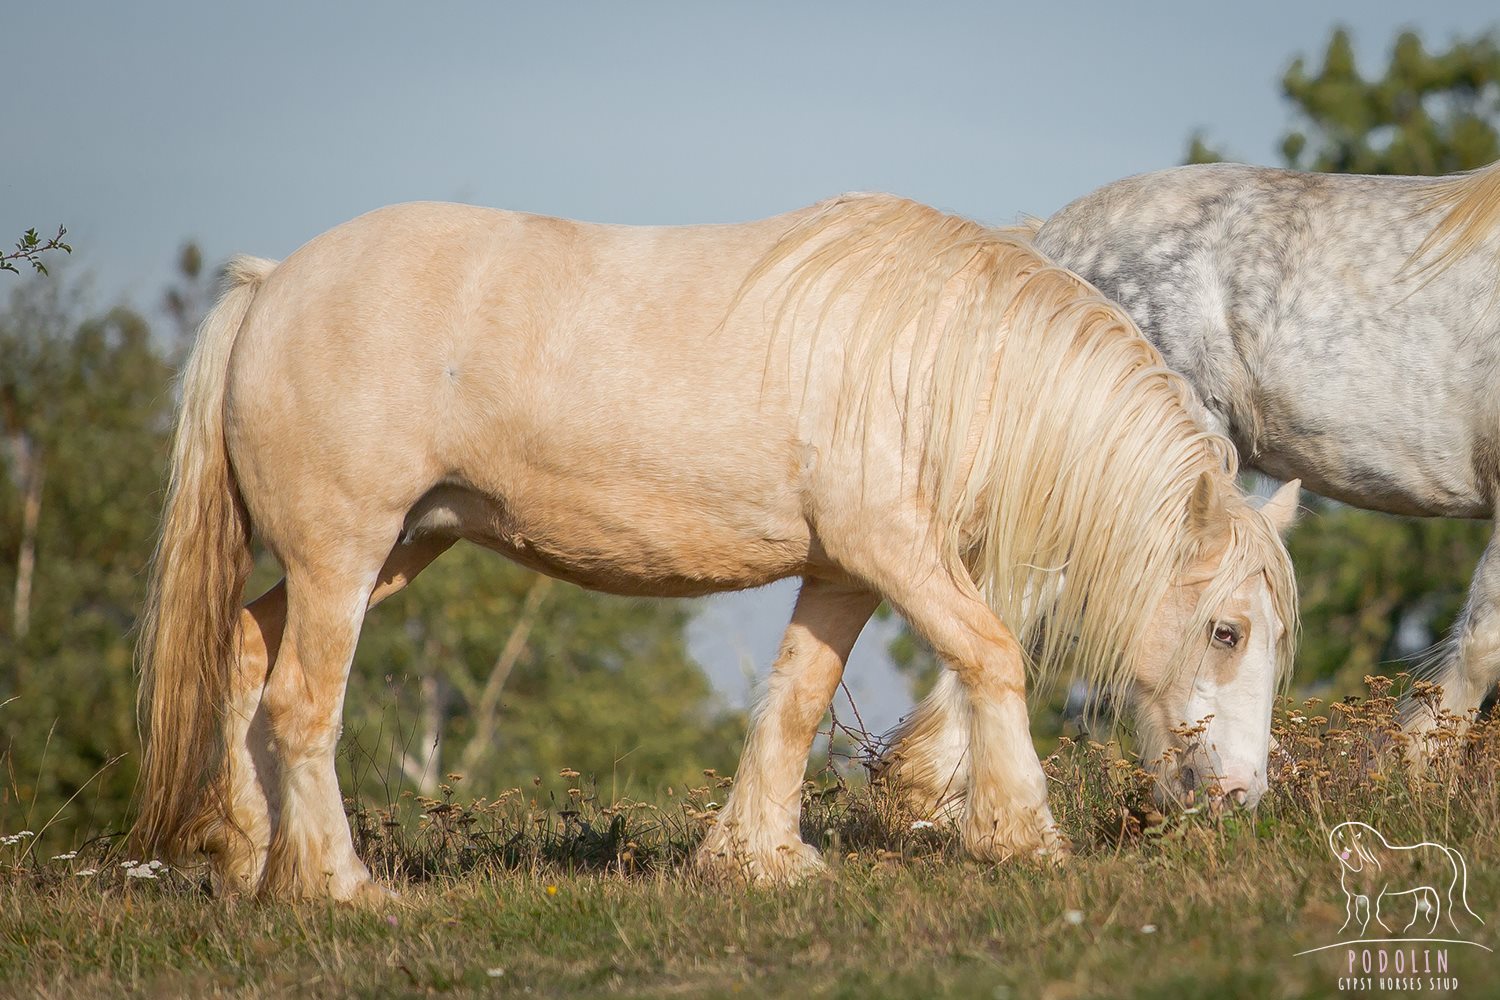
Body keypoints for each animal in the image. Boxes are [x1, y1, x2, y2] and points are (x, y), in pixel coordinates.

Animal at [135, 191, 1296, 905]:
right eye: (1227, 631)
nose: (1243, 795)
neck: (945, 358)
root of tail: (273, 283)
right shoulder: (897, 551)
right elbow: (991, 654)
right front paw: (1021, 837)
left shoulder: (842, 571)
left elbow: (795, 703)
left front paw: (760, 859)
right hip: (344, 550)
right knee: (302, 701)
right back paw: (338, 885)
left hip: (396, 548)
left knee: (247, 651)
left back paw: (248, 860)